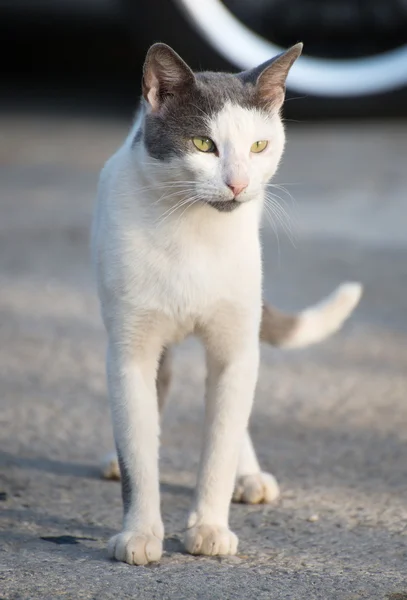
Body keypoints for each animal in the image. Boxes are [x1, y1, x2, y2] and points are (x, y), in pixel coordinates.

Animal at [92, 41, 364, 564]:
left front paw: (209, 527)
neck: (192, 232)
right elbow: (138, 445)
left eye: (259, 146)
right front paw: (140, 532)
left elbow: (220, 439)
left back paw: (249, 474)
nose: (237, 183)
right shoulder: (129, 349)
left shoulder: (234, 345)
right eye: (203, 145)